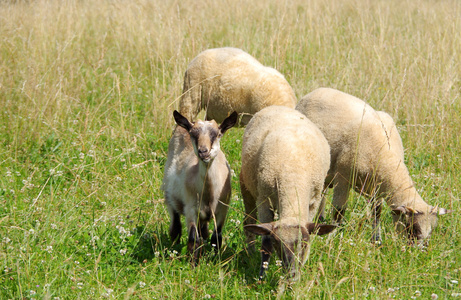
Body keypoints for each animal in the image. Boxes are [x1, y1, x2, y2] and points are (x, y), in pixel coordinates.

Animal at [162, 110, 237, 262]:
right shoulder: (191, 208)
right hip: (170, 197)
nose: (203, 151)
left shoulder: (222, 209)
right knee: (176, 226)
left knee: (204, 231)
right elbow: (193, 238)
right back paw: (174, 246)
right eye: (193, 134)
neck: (209, 192)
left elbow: (216, 238)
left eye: (217, 134)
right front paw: (193, 263)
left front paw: (216, 261)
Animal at [239, 106, 336, 282]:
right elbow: (265, 242)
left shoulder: (313, 203)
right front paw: (262, 275)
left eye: (304, 243)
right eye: (277, 243)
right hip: (247, 186)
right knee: (248, 222)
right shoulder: (264, 201)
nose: (292, 275)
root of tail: (278, 106)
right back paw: (250, 252)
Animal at [294, 88, 450, 245]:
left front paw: (376, 240)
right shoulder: (343, 179)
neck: (386, 158)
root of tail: (317, 91)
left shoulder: (377, 188)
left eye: (431, 230)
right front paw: (333, 238)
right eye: (411, 227)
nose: (417, 250)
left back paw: (320, 218)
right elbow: (339, 211)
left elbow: (377, 213)